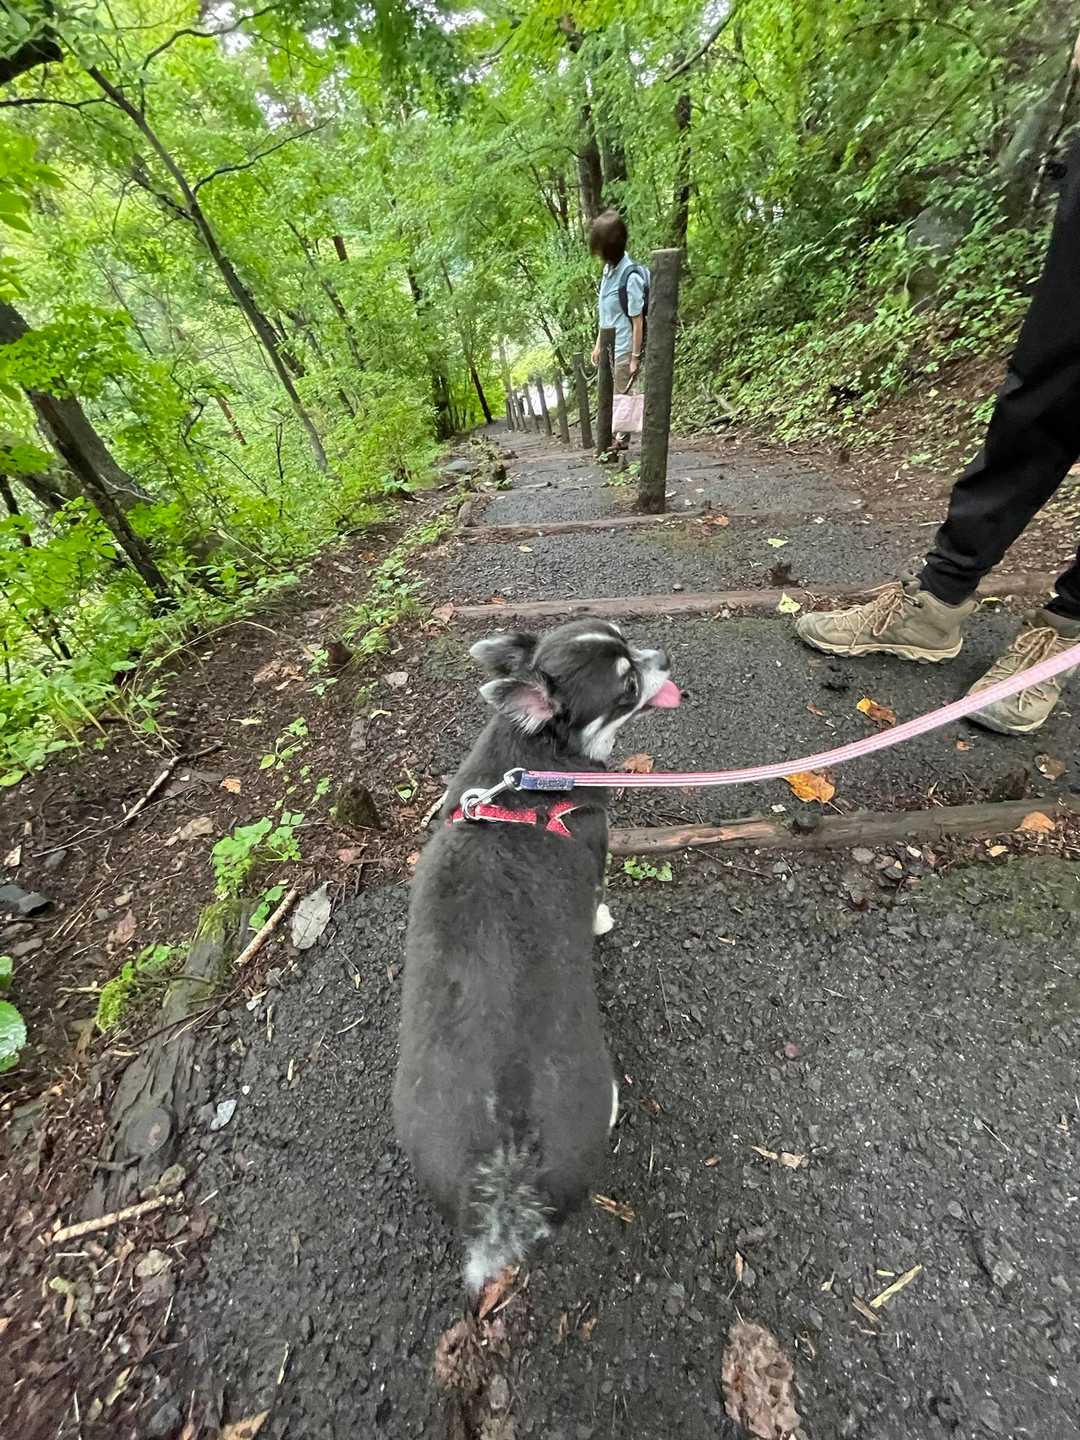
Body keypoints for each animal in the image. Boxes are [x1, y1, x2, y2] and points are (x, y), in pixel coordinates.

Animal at [393, 618, 681, 1291]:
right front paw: (600, 922)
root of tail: (506, 1162)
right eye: (627, 686)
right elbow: (599, 900)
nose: (663, 657)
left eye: (627, 638)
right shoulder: (597, 851)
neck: (534, 768)